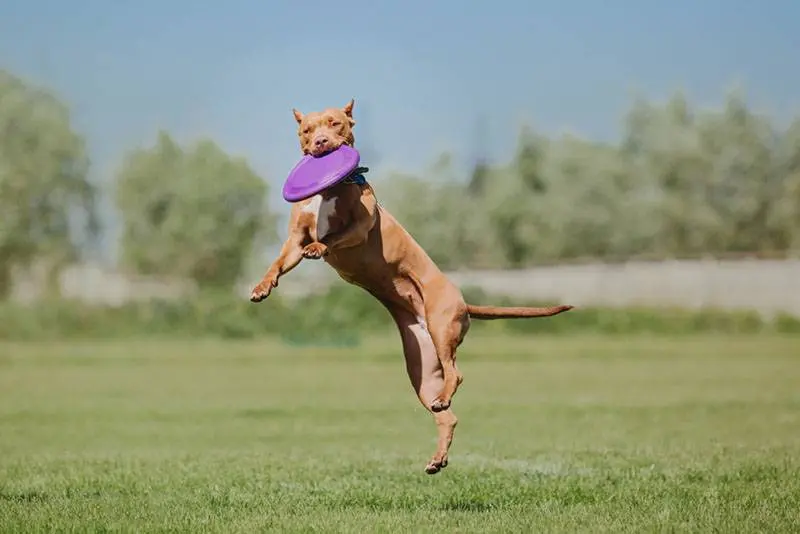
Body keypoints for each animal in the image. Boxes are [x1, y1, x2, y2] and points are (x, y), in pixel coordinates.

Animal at [250, 100, 568, 478]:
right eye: (307, 130)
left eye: (335, 123)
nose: (321, 143)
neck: (328, 191)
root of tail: (463, 302)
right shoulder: (294, 241)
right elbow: (278, 262)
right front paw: (261, 287)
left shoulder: (360, 226)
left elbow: (334, 236)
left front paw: (320, 246)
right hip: (422, 369)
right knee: (447, 415)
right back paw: (437, 456)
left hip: (442, 328)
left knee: (457, 374)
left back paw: (445, 403)